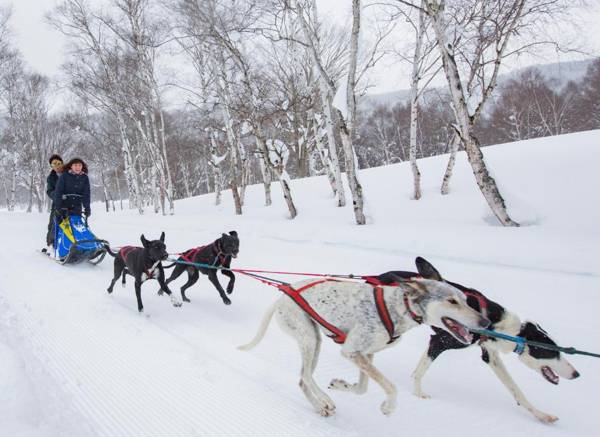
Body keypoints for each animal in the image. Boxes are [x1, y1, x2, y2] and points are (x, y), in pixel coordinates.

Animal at [237, 258, 490, 418]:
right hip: (309, 338)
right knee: (306, 376)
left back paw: (320, 406)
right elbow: (390, 386)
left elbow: (362, 388)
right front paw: (389, 407)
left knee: (302, 379)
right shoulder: (351, 351)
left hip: (314, 341)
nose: (486, 323)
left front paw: (342, 384)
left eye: (466, 300)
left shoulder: (365, 354)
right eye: (452, 301)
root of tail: (281, 298)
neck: (398, 307)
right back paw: (325, 400)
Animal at [368, 258, 580, 422]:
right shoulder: (440, 341)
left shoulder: (491, 355)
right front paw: (419, 394)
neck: (495, 323)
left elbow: (515, 389)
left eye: (558, 350)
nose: (577, 374)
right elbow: (418, 373)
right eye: (551, 352)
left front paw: (540, 414)